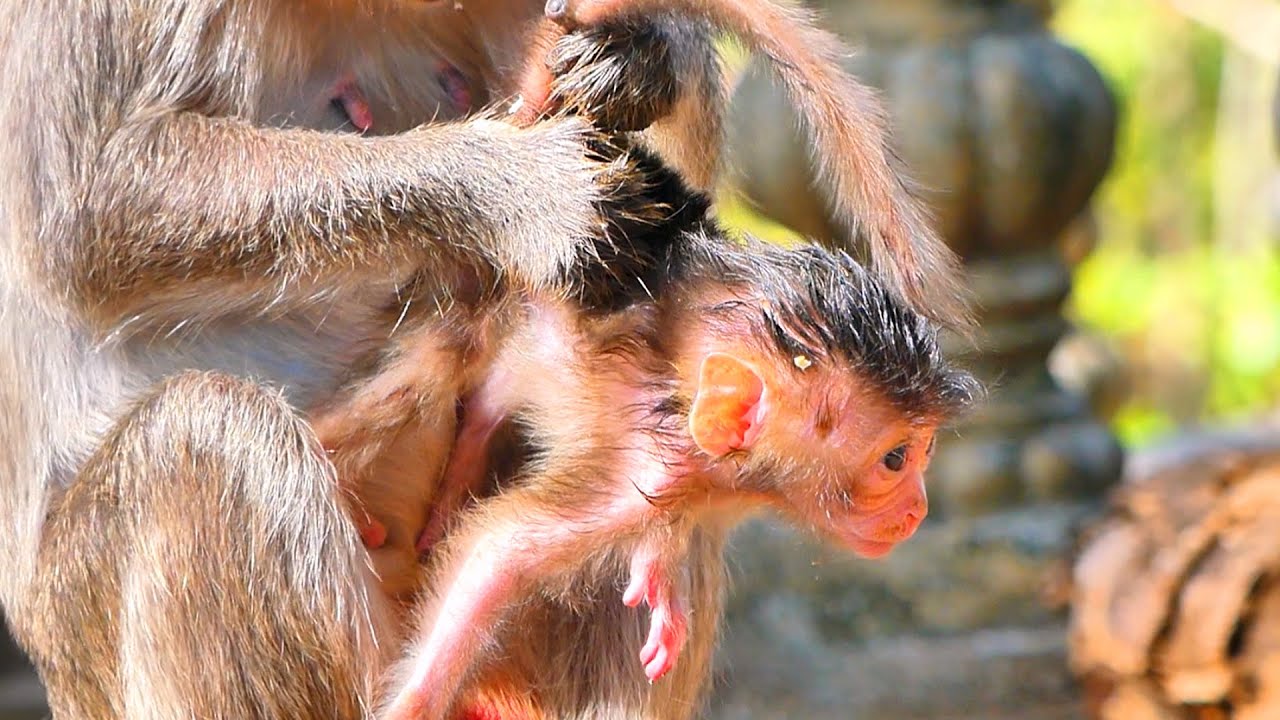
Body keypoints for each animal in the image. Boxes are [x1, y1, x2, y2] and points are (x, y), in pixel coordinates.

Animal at [378, 220, 979, 719]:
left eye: (925, 453)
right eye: (895, 460)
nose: (918, 509)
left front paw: (660, 576)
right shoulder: (644, 471)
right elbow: (501, 553)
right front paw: (414, 704)